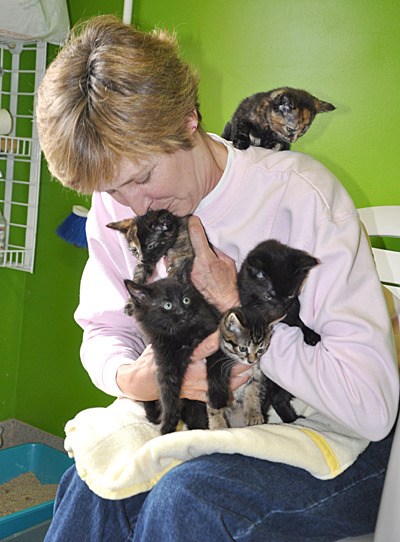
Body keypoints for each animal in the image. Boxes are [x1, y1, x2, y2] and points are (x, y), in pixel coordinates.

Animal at [124, 278, 222, 436]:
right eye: (167, 305)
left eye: (186, 300)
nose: (184, 312)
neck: (182, 336)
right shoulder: (166, 364)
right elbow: (168, 398)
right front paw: (167, 429)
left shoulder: (215, 339)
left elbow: (215, 368)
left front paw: (217, 397)